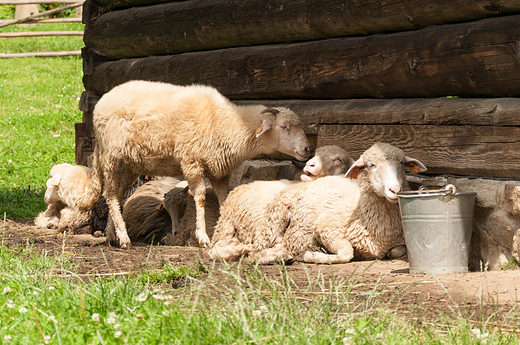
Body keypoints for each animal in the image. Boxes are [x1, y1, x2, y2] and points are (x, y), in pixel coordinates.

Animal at [78, 80, 310, 247]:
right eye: (283, 127)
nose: (307, 149)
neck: (228, 123)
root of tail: (103, 100)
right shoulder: (191, 162)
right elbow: (199, 198)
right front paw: (203, 237)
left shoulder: (220, 171)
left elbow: (225, 200)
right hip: (111, 157)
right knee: (109, 195)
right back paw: (124, 238)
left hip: (130, 164)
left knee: (116, 196)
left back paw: (112, 235)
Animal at [252, 142, 426, 264]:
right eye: (371, 165)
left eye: (401, 162)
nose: (395, 189)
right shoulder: (326, 227)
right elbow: (346, 253)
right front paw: (312, 254)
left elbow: (396, 251)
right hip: (274, 222)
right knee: (254, 254)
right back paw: (280, 256)